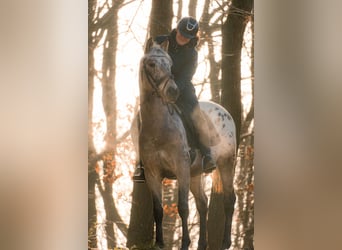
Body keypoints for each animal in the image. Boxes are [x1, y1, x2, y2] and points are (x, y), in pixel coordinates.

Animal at [130, 38, 236, 249]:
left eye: (170, 64)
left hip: (227, 164)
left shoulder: (181, 168)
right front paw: (159, 243)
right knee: (203, 204)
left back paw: (225, 242)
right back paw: (202, 244)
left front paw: (185, 243)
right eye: (151, 64)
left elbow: (183, 208)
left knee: (229, 200)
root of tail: (224, 111)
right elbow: (158, 209)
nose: (172, 91)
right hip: (195, 173)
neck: (159, 126)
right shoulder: (153, 173)